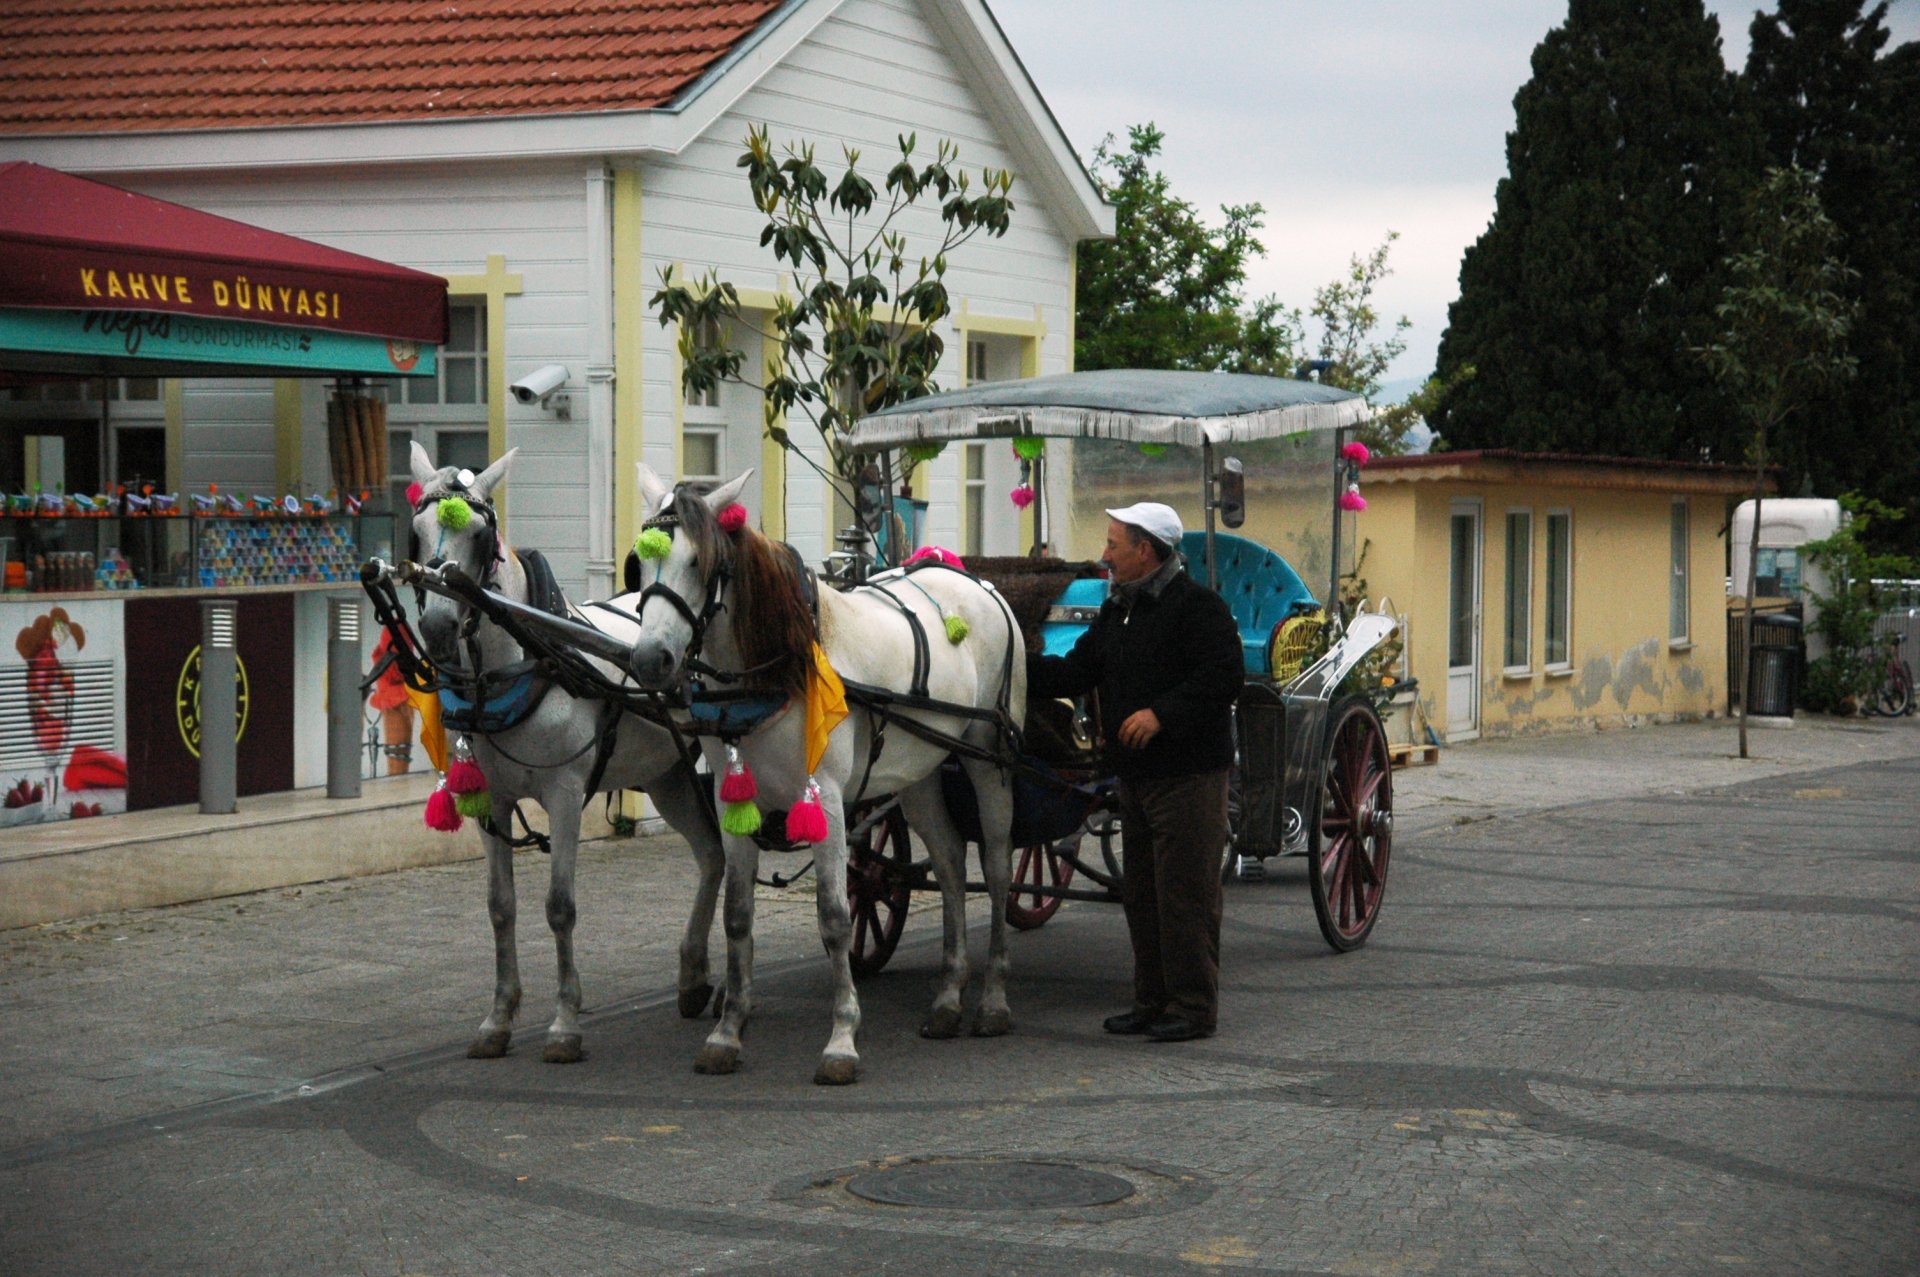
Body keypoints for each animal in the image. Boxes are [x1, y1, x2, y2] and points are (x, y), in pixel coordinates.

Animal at [405, 443, 725, 1060]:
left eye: (479, 535)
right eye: (416, 530)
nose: (437, 626)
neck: (525, 660)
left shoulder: (564, 793)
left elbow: (559, 907)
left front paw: (564, 1024)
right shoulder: (491, 800)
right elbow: (500, 906)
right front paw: (498, 1017)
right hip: (669, 775)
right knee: (713, 857)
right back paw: (695, 975)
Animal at [622, 468, 1029, 1083]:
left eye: (697, 562)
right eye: (640, 564)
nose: (651, 662)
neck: (780, 666)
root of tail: (976, 582)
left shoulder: (830, 801)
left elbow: (835, 917)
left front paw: (841, 1039)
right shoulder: (733, 799)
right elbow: (737, 915)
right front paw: (727, 1033)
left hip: (988, 760)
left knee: (1000, 867)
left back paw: (994, 1000)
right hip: (920, 770)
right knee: (952, 864)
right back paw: (947, 997)